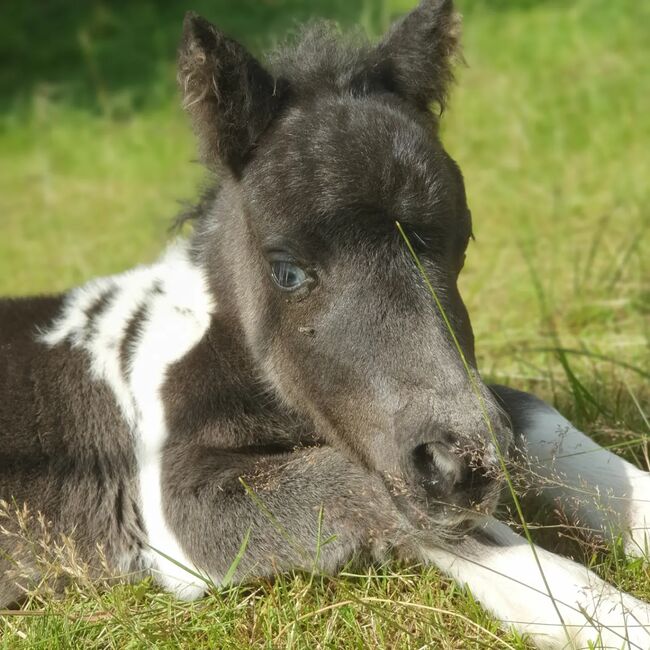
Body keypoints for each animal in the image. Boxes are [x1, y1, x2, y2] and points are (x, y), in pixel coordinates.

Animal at [1, 2, 648, 644]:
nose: (468, 466)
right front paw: (614, 621)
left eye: (462, 242)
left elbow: (536, 417)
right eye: (286, 271)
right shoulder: (177, 505)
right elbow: (367, 487)